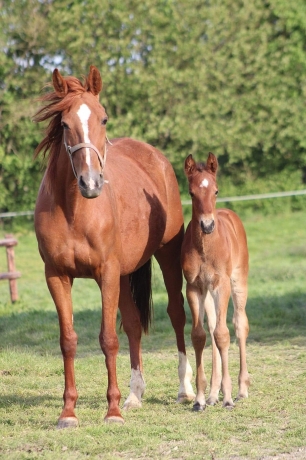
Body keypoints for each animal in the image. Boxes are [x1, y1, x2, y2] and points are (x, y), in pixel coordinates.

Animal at [182, 153, 249, 412]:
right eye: (191, 193)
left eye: (216, 190)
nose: (207, 225)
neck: (205, 249)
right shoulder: (194, 287)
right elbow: (199, 336)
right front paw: (200, 399)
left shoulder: (222, 285)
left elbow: (223, 335)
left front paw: (228, 397)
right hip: (209, 294)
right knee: (211, 329)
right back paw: (212, 394)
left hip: (238, 282)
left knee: (239, 325)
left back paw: (241, 389)